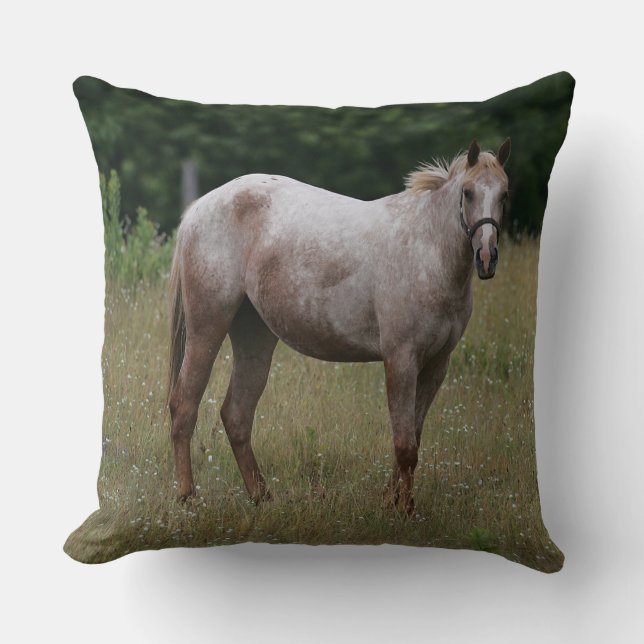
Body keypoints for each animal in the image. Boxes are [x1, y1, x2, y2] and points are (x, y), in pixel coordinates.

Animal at [167, 138, 511, 514]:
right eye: (468, 192)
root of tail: (198, 209)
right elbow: (405, 444)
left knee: (236, 416)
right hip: (207, 327)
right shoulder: (401, 359)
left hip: (254, 337)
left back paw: (262, 497)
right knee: (184, 406)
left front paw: (392, 500)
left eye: (505, 194)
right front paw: (404, 510)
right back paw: (187, 497)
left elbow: (413, 439)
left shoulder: (437, 365)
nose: (486, 258)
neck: (427, 250)